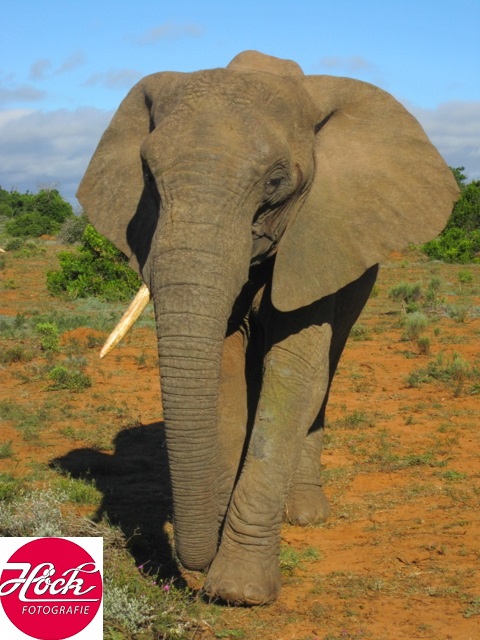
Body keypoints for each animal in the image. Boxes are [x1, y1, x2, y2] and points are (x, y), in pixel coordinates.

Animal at [77, 50, 458, 605]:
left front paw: (237, 591)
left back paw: (304, 514)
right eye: (147, 174)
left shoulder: (318, 233)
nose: (194, 563)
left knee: (325, 370)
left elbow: (294, 373)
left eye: (277, 181)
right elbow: (225, 367)